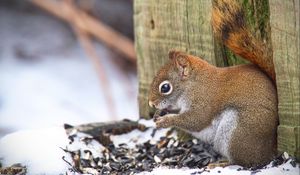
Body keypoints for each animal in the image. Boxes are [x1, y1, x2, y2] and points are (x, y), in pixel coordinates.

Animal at [149, 0, 278, 167]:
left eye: (165, 87)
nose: (151, 103)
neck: (193, 84)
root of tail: (271, 148)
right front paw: (160, 113)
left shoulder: (204, 100)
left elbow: (196, 120)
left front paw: (166, 120)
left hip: (238, 133)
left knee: (245, 161)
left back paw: (223, 163)